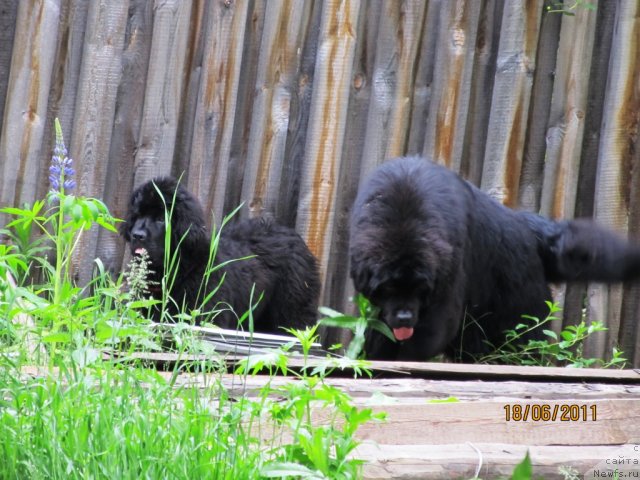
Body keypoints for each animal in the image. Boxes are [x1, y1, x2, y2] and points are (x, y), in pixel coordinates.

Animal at [350, 156, 640, 362]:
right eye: (389, 287)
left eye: (421, 289)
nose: (404, 316)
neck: (403, 219)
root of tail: (529, 229)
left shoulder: (446, 282)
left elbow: (430, 331)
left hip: (520, 311)